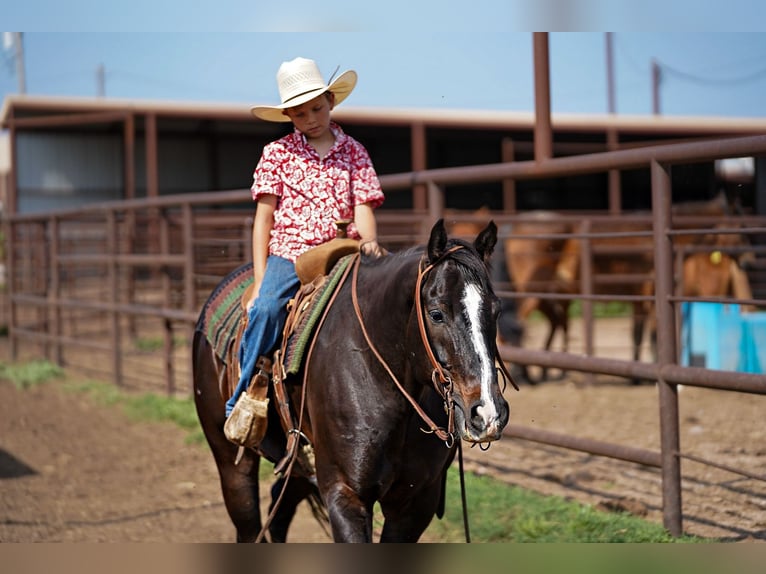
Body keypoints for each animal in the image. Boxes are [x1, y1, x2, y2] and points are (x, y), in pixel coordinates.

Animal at [195, 218, 512, 544]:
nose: (487, 412)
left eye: (497, 310)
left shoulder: (417, 503)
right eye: (436, 314)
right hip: (231, 459)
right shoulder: (345, 494)